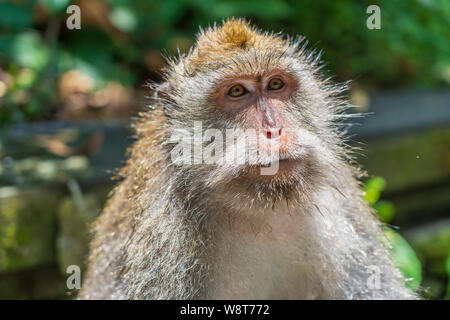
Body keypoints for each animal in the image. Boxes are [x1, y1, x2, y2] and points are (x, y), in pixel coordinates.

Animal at [78, 18, 418, 300]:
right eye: (237, 91)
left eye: (276, 85)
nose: (274, 130)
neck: (260, 208)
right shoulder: (164, 234)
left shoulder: (341, 206)